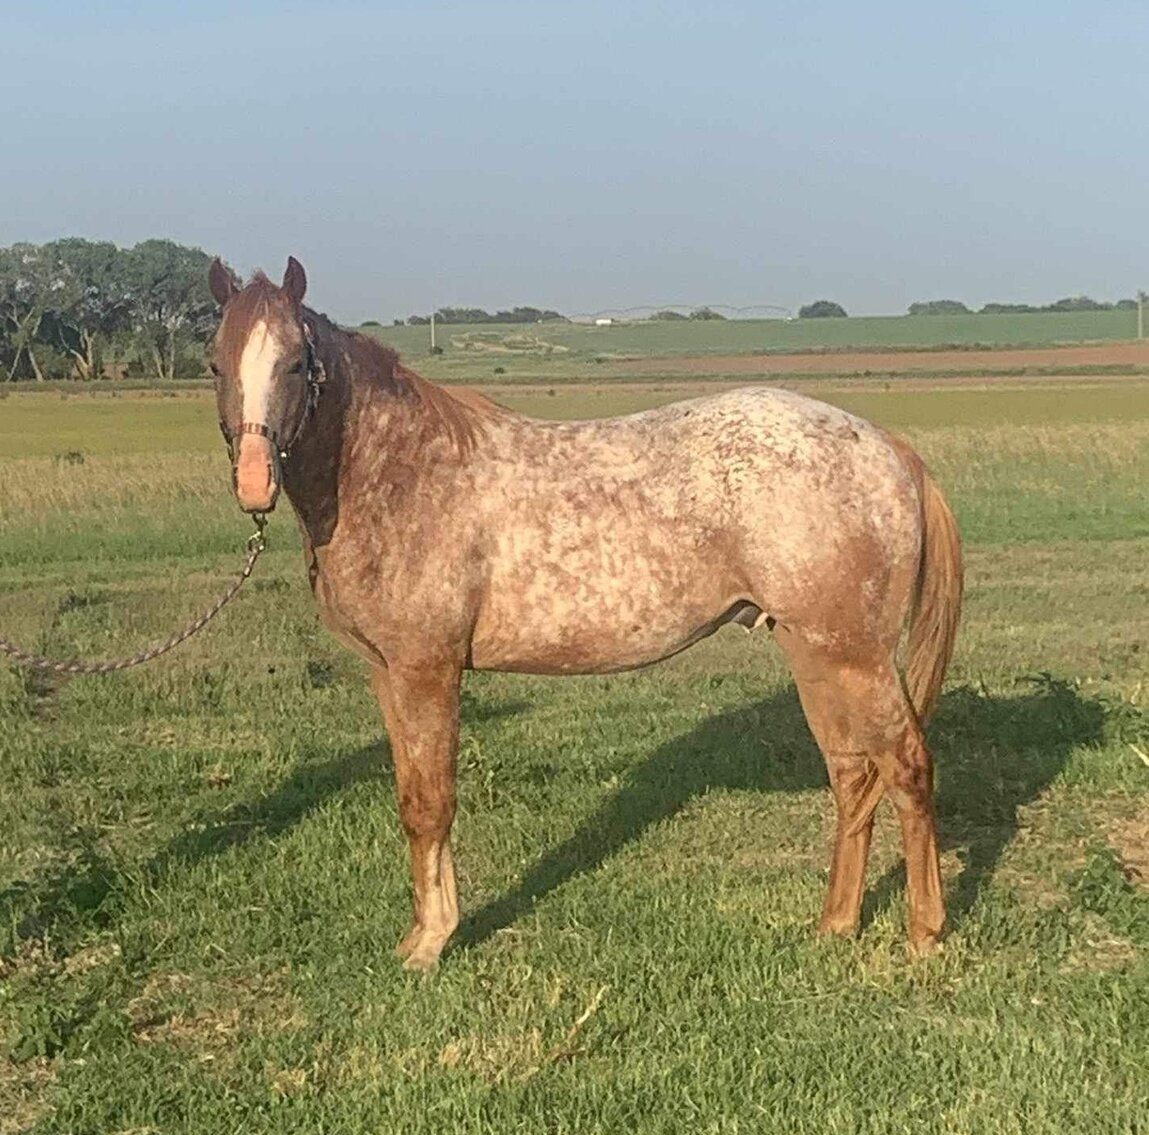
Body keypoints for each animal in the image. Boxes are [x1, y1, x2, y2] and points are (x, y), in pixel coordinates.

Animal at [208, 257, 963, 971]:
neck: (403, 473)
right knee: (852, 775)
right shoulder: (387, 673)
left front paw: (433, 943)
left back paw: (924, 934)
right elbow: (409, 802)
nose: (253, 483)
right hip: (816, 652)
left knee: (905, 767)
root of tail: (885, 447)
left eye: (296, 362)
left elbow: (432, 803)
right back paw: (834, 924)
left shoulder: (429, 671)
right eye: (215, 362)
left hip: (856, 657)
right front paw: (419, 934)